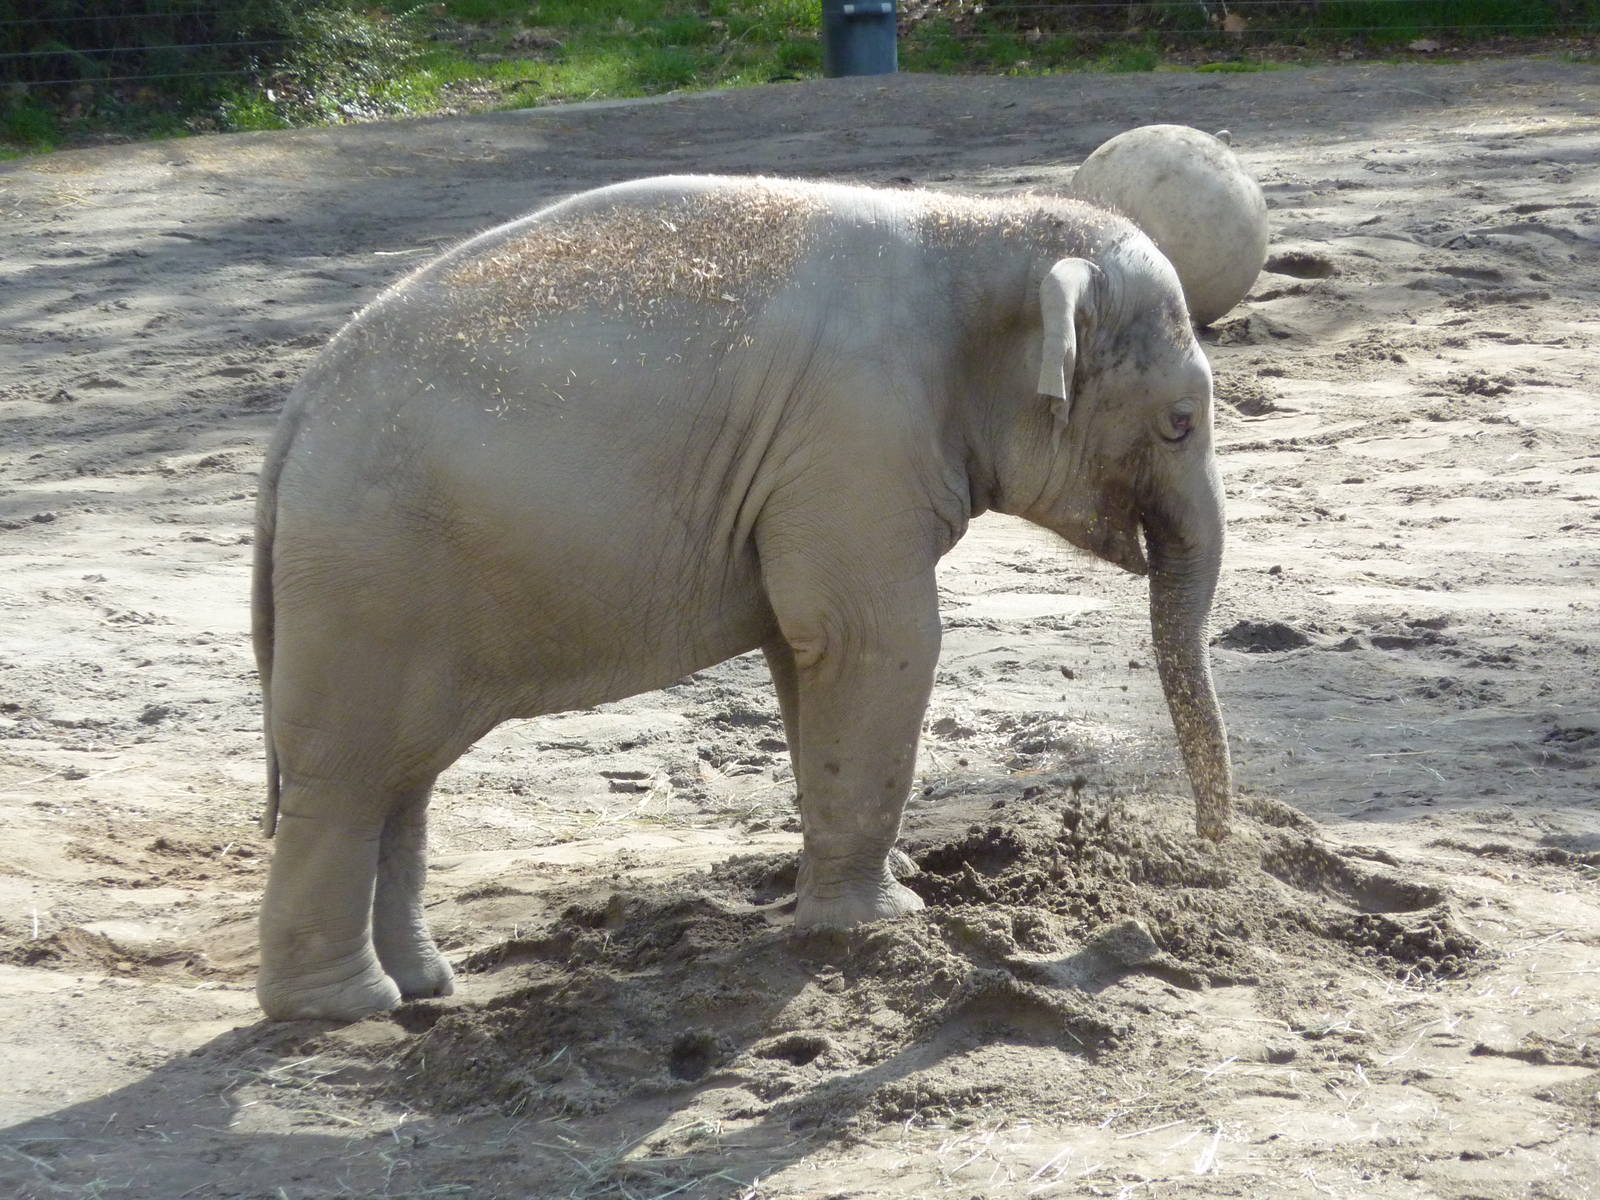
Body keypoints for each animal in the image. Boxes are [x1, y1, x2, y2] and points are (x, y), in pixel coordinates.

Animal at [252, 174, 1233, 1021]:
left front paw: (868, 893)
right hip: (365, 580)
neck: (978, 227)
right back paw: (343, 1009)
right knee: (345, 776)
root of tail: (294, 417)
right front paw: (881, 922)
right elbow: (872, 638)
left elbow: (806, 656)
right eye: (1179, 422)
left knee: (400, 779)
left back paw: (425, 987)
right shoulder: (857, 430)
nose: (1216, 850)